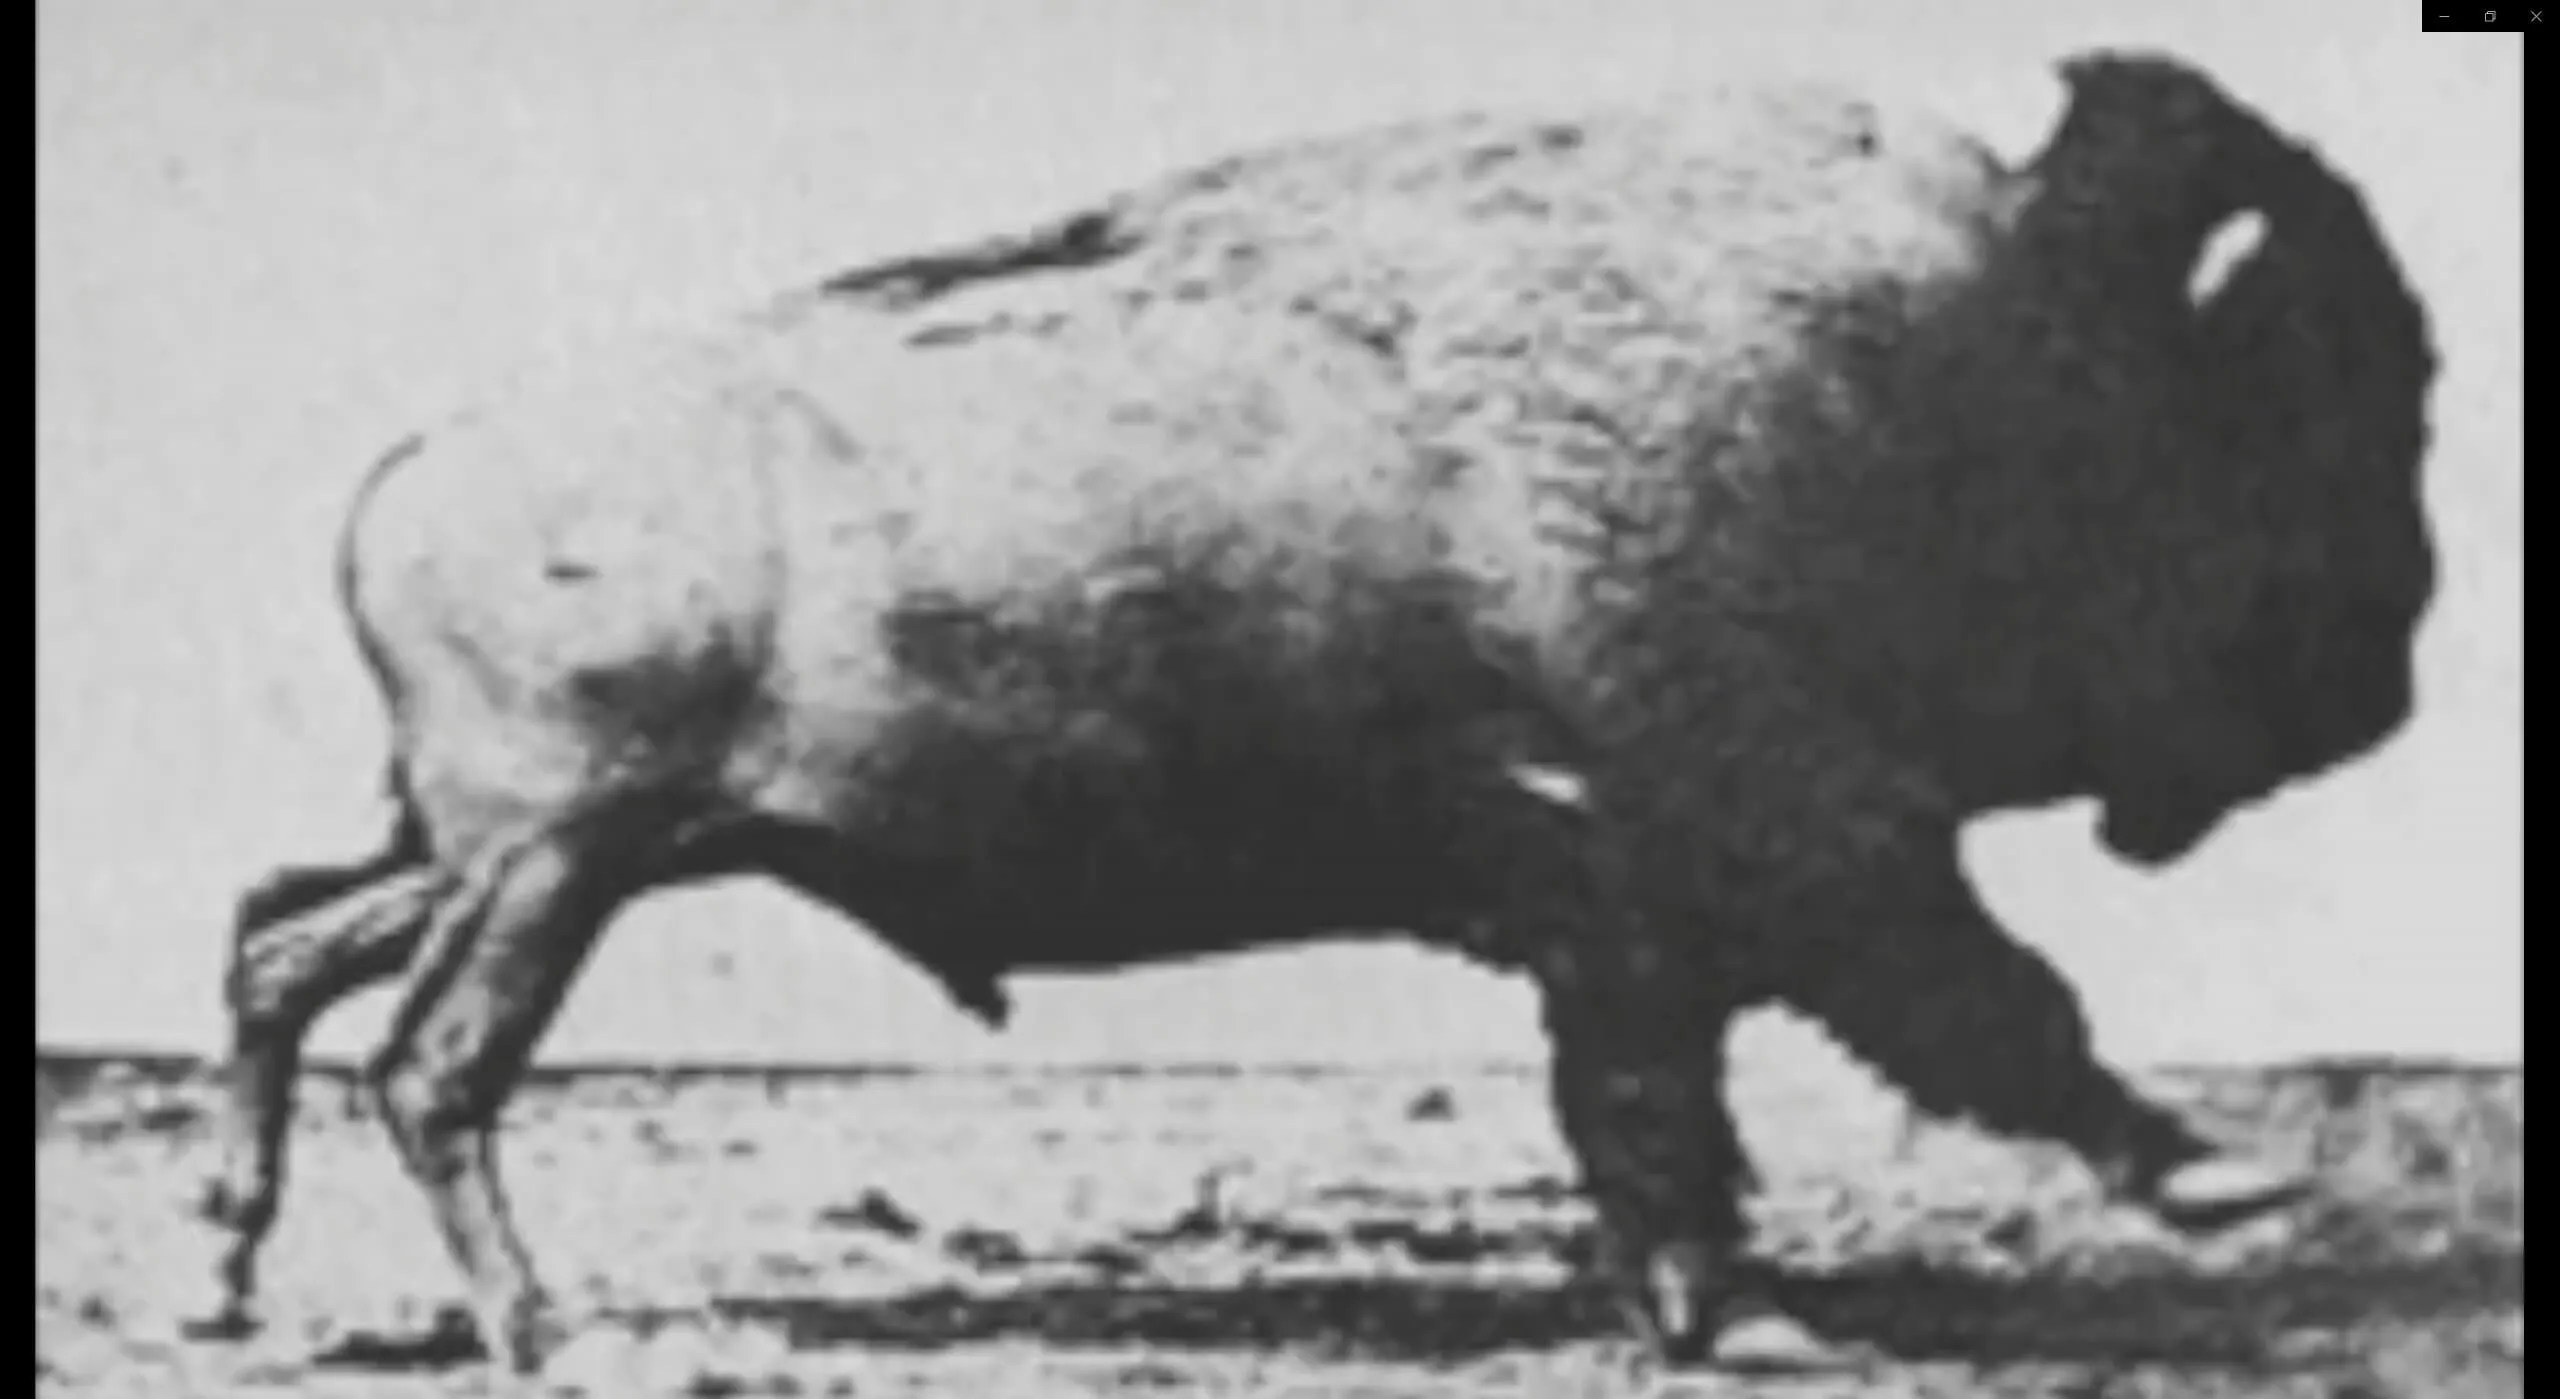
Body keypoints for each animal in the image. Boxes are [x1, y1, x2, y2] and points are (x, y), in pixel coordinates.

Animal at [196, 50, 2437, 1374]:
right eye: (2312, 388)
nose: (2393, 659)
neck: (1972, 339)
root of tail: (409, 471)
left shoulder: (1636, 912)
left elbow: (1662, 1114)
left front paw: (1710, 1305)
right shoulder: (1787, 845)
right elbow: (1981, 1011)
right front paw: (2211, 1185)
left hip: (511, 852)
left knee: (282, 945)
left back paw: (237, 1269)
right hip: (550, 863)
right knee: (428, 1061)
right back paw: (538, 1326)